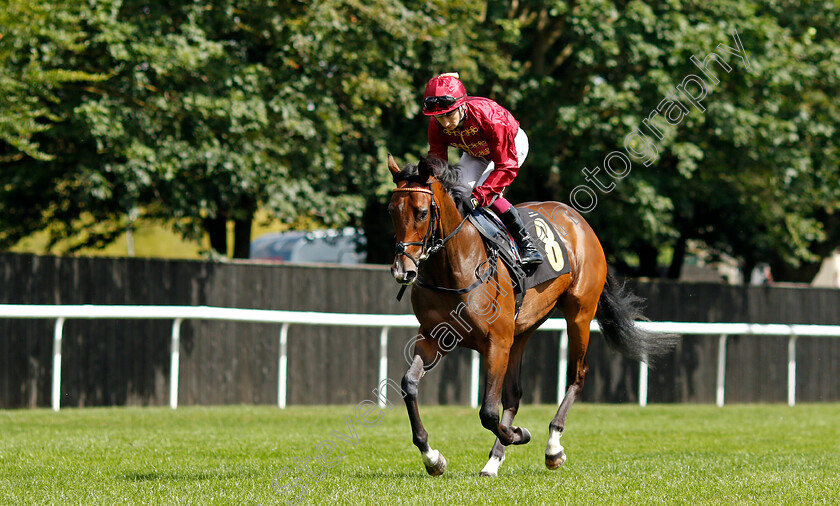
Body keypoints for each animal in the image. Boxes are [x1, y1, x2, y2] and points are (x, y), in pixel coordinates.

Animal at [388, 155, 676, 478]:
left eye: (422, 212)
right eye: (392, 211)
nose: (403, 270)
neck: (456, 267)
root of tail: (579, 221)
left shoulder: (496, 342)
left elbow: (488, 412)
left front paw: (519, 434)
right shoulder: (433, 337)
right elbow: (409, 385)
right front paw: (432, 457)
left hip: (579, 314)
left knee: (577, 374)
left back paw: (553, 447)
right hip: (522, 332)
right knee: (514, 394)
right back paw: (494, 460)